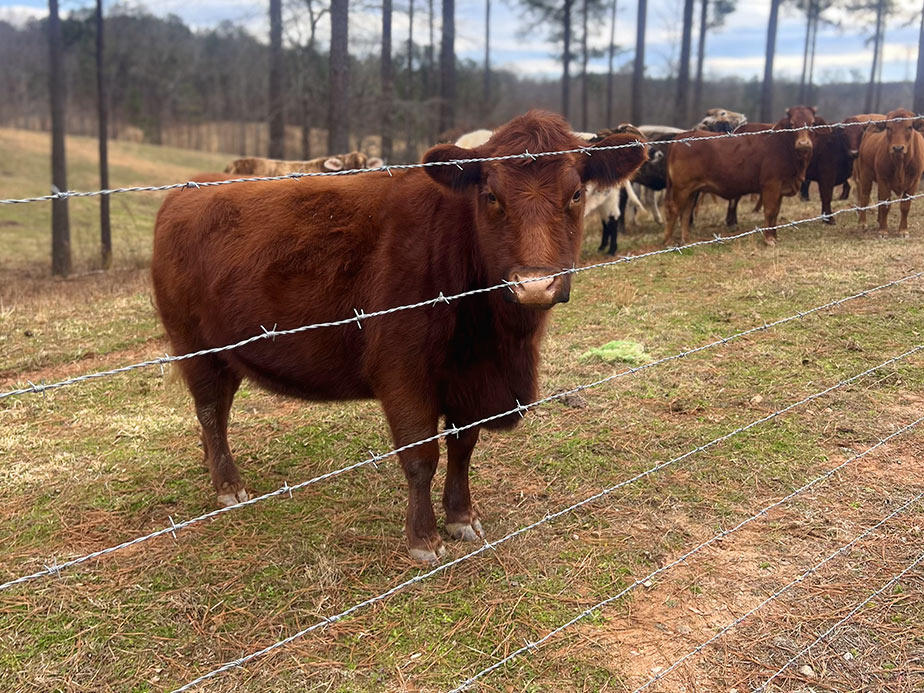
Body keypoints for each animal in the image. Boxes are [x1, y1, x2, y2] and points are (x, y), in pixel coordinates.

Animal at [150, 109, 644, 564]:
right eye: (490, 195)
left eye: (576, 193)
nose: (535, 285)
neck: (495, 342)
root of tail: (190, 187)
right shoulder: (403, 371)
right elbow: (421, 457)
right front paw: (423, 539)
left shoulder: (468, 381)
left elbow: (463, 446)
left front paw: (462, 517)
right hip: (194, 344)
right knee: (210, 410)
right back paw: (229, 485)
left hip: (226, 351)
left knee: (217, 411)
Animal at [664, 102, 816, 243]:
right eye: (792, 124)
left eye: (812, 123)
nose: (804, 144)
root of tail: (682, 136)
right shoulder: (771, 185)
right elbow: (770, 211)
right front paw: (768, 239)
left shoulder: (780, 188)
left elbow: (776, 213)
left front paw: (774, 236)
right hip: (682, 188)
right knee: (673, 209)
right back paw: (668, 241)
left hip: (692, 190)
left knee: (685, 212)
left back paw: (686, 240)